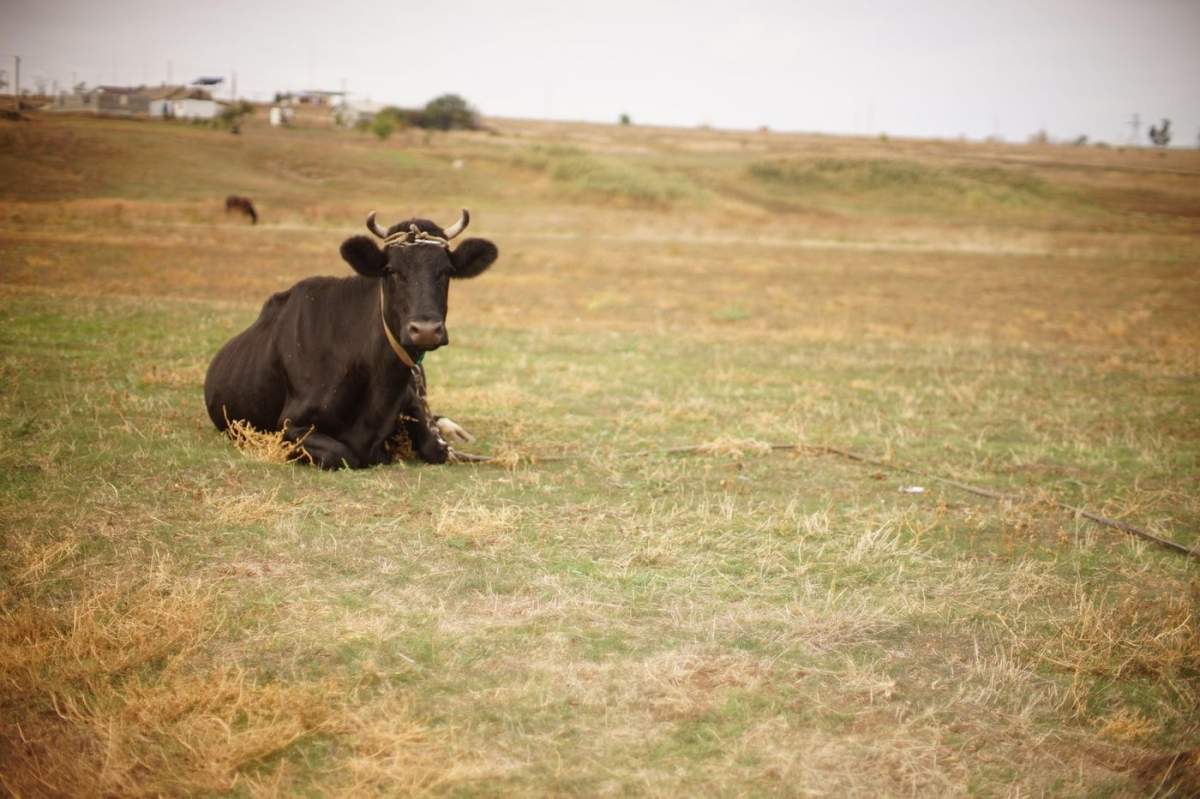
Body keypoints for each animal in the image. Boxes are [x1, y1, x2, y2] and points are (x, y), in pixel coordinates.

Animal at [204, 208, 494, 467]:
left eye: (446, 271)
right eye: (391, 270)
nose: (425, 330)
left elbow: (435, 447)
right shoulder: (289, 427)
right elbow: (342, 454)